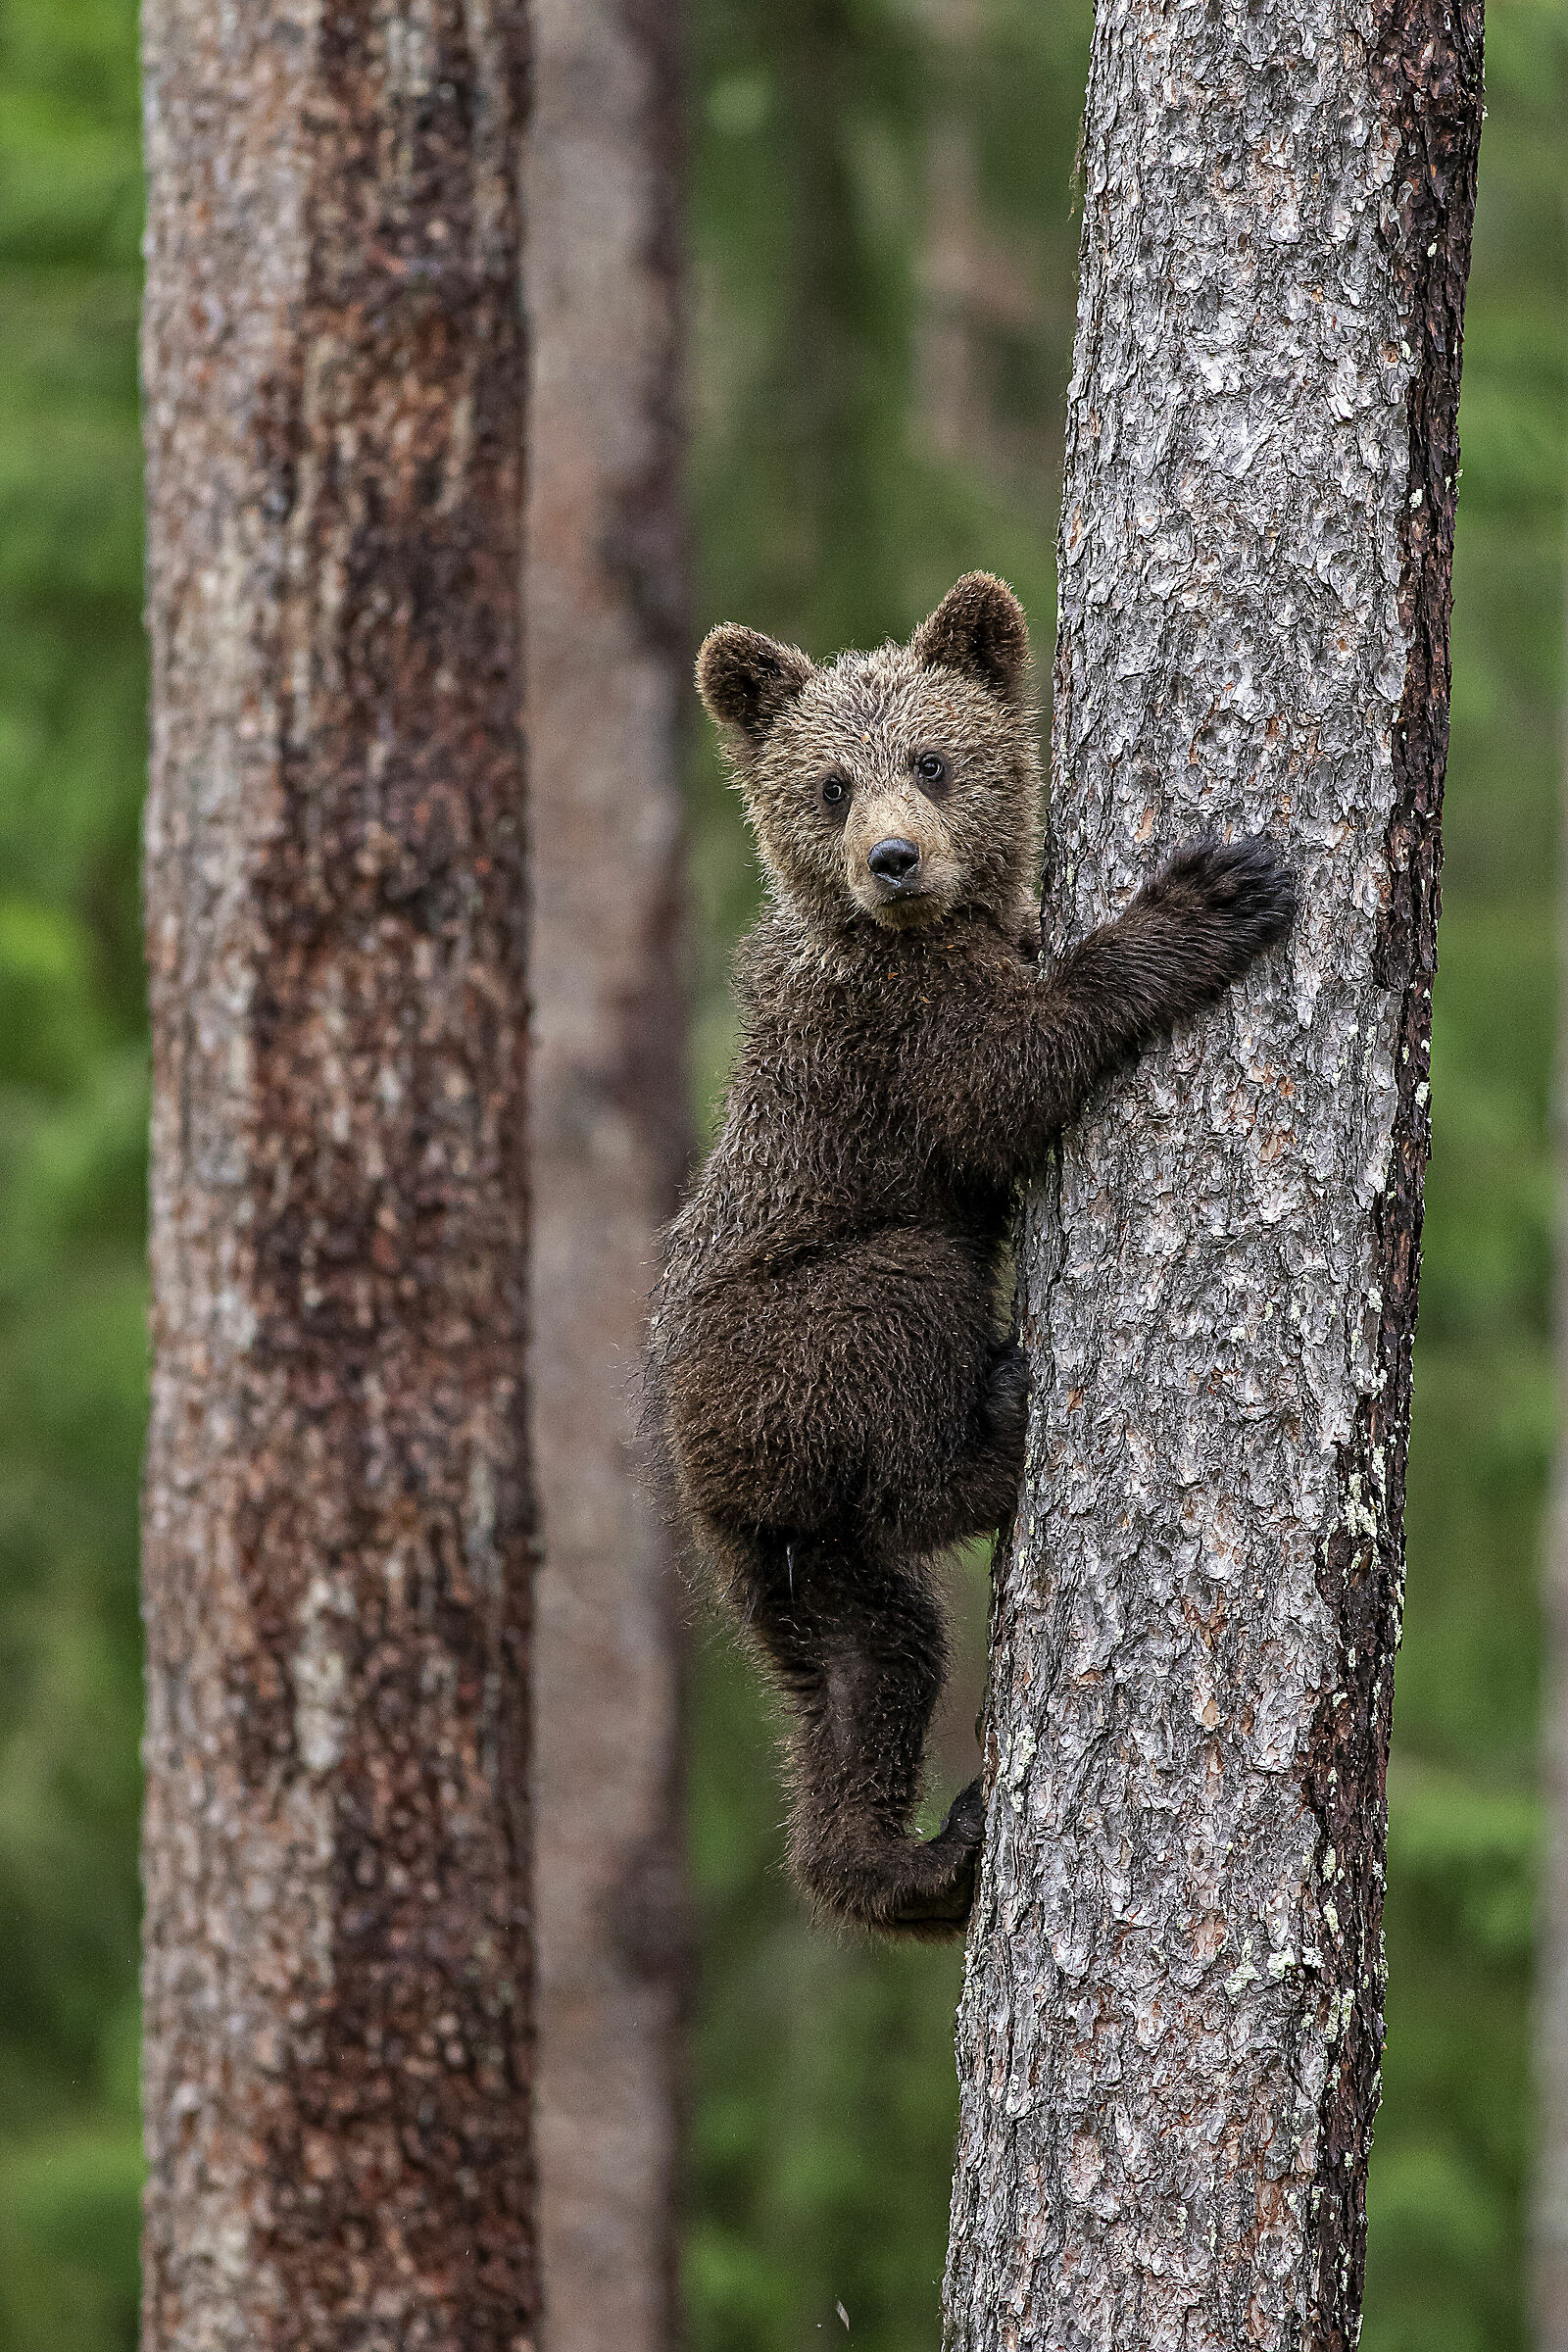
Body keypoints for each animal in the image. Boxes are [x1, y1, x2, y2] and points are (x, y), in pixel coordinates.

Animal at [647, 572, 1295, 1938]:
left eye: (933, 761)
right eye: (830, 784)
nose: (894, 860)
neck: (929, 929)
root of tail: (698, 1474)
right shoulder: (894, 1030)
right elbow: (1010, 1077)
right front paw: (1211, 894)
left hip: (800, 1558)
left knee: (865, 1674)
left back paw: (917, 1863)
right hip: (796, 1329)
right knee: (906, 1315)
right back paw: (999, 1422)